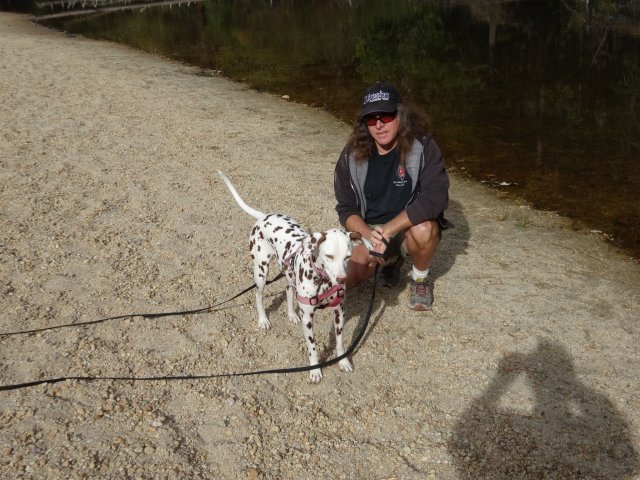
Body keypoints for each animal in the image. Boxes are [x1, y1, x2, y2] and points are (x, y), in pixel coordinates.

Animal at [219, 172, 360, 382]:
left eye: (348, 257)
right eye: (329, 256)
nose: (342, 280)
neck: (322, 281)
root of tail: (263, 216)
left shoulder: (339, 312)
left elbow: (340, 341)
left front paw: (343, 362)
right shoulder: (308, 317)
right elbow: (312, 347)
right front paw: (315, 370)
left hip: (289, 274)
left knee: (288, 290)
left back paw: (292, 314)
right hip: (261, 272)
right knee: (258, 295)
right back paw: (263, 320)